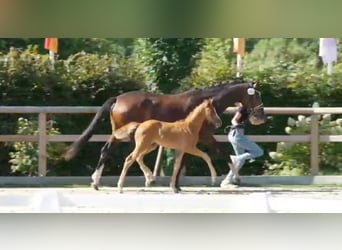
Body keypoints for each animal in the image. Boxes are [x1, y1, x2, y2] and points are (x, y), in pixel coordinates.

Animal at [65, 80, 268, 191]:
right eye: (257, 95)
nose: (261, 117)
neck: (206, 105)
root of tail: (117, 99)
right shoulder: (205, 137)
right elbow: (224, 154)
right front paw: (235, 178)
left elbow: (183, 160)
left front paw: (176, 185)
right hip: (123, 134)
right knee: (113, 152)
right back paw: (99, 181)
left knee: (126, 154)